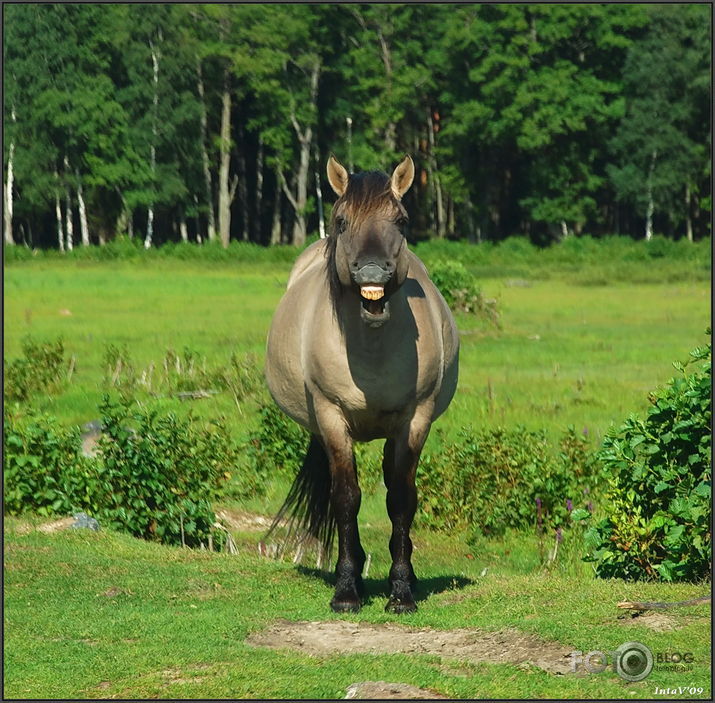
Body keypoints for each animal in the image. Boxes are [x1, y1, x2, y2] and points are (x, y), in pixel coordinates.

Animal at [262, 153, 458, 612]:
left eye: (401, 221)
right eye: (341, 221)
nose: (371, 271)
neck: (371, 348)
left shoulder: (414, 420)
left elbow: (401, 498)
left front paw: (401, 591)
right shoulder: (332, 418)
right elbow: (346, 498)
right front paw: (348, 589)